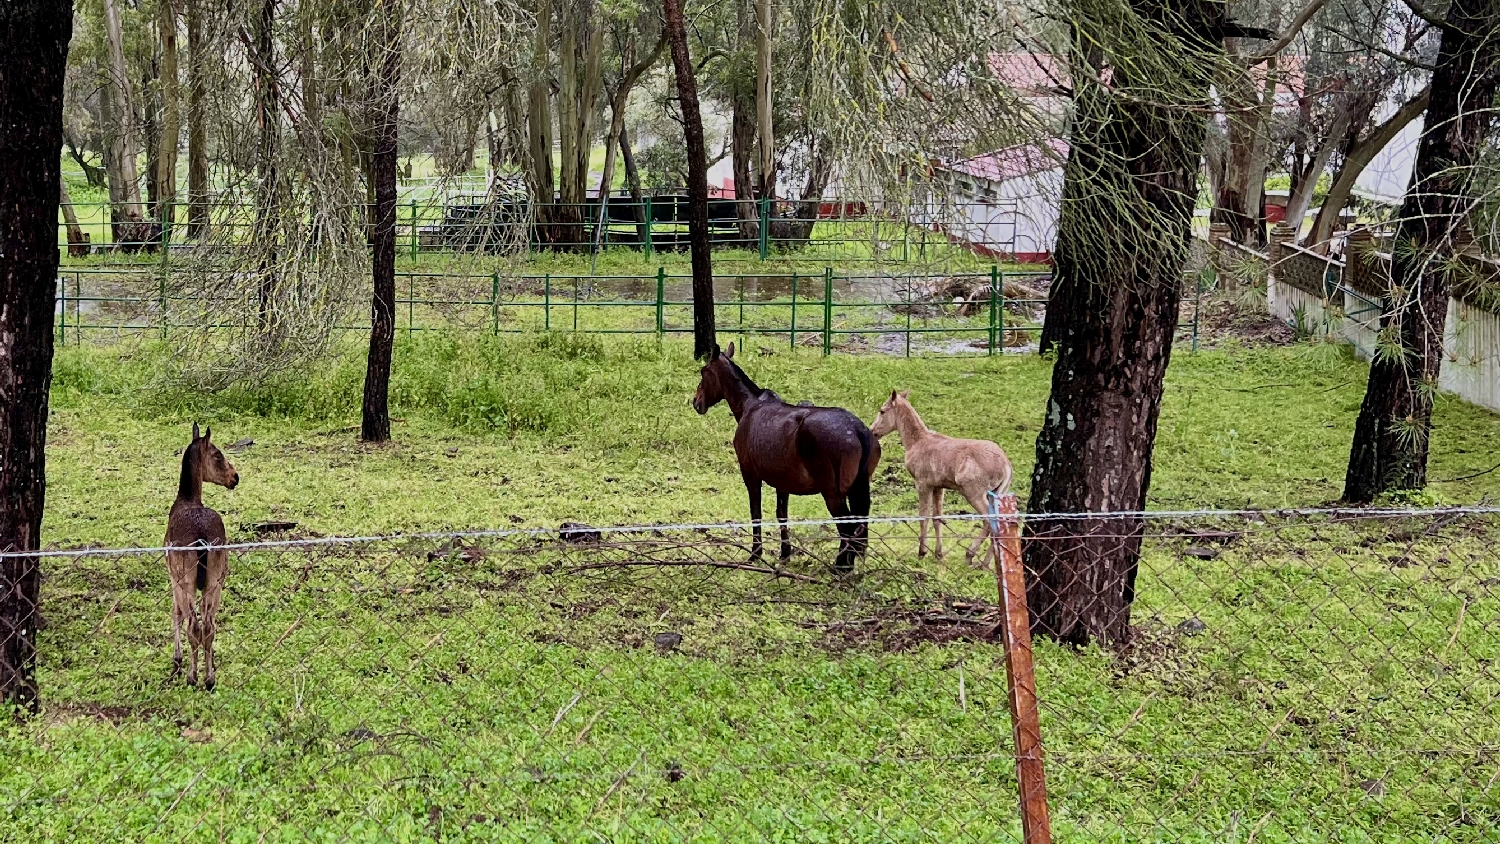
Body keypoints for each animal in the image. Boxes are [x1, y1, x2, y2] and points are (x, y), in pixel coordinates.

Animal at [690, 343, 876, 575]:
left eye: (703, 372)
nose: (696, 402)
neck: (751, 406)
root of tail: (856, 429)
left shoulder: (750, 475)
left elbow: (756, 513)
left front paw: (755, 554)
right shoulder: (783, 482)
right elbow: (782, 515)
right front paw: (785, 554)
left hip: (834, 495)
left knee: (848, 529)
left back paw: (841, 566)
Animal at [870, 392, 1020, 566]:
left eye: (882, 411)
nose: (873, 431)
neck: (918, 442)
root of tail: (1006, 465)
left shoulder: (922, 484)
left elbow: (923, 517)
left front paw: (922, 552)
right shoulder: (938, 487)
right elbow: (937, 519)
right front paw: (938, 553)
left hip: (974, 492)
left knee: (990, 520)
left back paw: (970, 555)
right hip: (997, 493)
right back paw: (986, 563)